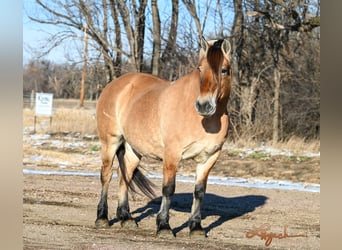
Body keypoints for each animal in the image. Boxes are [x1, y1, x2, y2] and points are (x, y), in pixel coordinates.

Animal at [93, 37, 232, 238]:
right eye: (200, 69)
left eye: (224, 70)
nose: (204, 105)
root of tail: (114, 85)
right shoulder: (172, 155)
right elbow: (168, 189)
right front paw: (164, 226)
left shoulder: (209, 157)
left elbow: (199, 191)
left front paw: (196, 228)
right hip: (110, 142)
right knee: (107, 175)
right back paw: (102, 218)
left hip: (134, 150)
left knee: (125, 176)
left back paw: (126, 218)